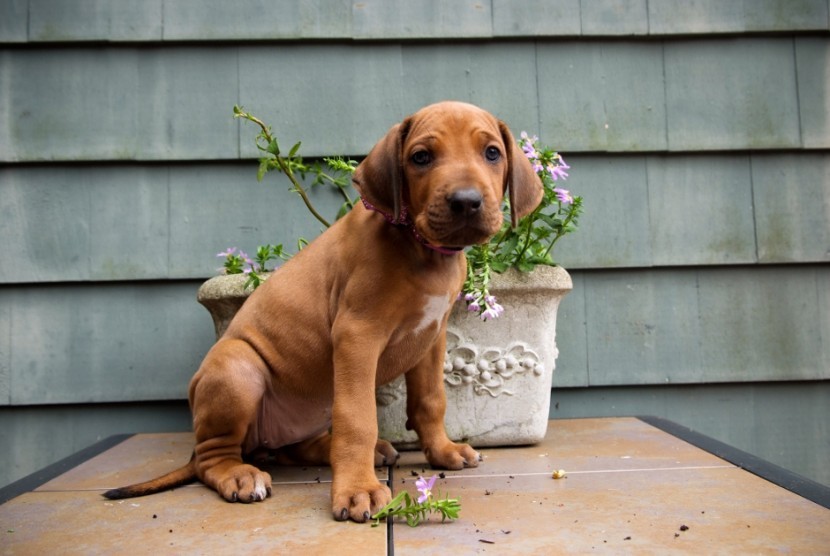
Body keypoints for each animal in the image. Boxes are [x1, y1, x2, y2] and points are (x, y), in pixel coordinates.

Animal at [104, 100, 544, 520]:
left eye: (491, 152)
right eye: (421, 157)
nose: (466, 202)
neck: (421, 249)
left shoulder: (431, 338)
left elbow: (431, 400)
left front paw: (443, 451)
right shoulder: (357, 336)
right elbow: (358, 418)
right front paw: (357, 489)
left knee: (289, 448)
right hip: (237, 369)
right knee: (213, 457)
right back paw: (240, 475)